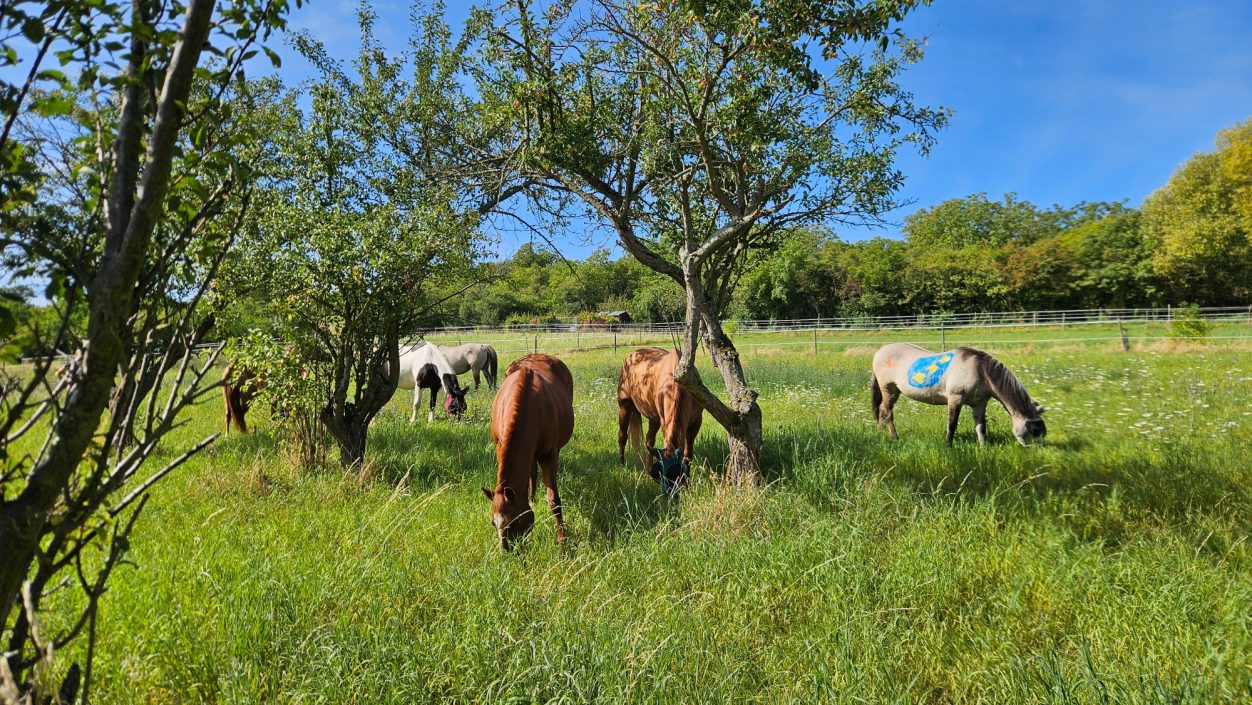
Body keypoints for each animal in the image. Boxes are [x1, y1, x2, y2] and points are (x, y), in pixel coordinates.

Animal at [481, 354, 575, 550]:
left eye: (514, 522)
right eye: (493, 523)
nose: (508, 550)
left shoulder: (549, 456)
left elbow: (554, 502)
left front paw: (563, 543)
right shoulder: (500, 447)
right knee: (531, 470)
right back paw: (531, 498)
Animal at [617, 347, 703, 494]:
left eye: (678, 475)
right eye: (659, 476)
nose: (671, 495)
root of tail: (632, 354)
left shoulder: (696, 423)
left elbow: (688, 455)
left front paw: (688, 485)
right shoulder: (665, 422)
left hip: (654, 418)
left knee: (649, 440)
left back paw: (646, 467)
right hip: (624, 406)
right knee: (623, 436)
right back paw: (622, 465)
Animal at [870, 343, 1048, 446]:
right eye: (1034, 431)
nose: (1036, 450)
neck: (980, 370)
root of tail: (879, 351)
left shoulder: (980, 403)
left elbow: (981, 427)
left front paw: (983, 447)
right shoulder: (955, 398)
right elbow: (952, 424)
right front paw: (948, 445)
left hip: (895, 391)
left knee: (881, 410)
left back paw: (880, 432)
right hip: (888, 389)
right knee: (888, 412)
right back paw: (895, 438)